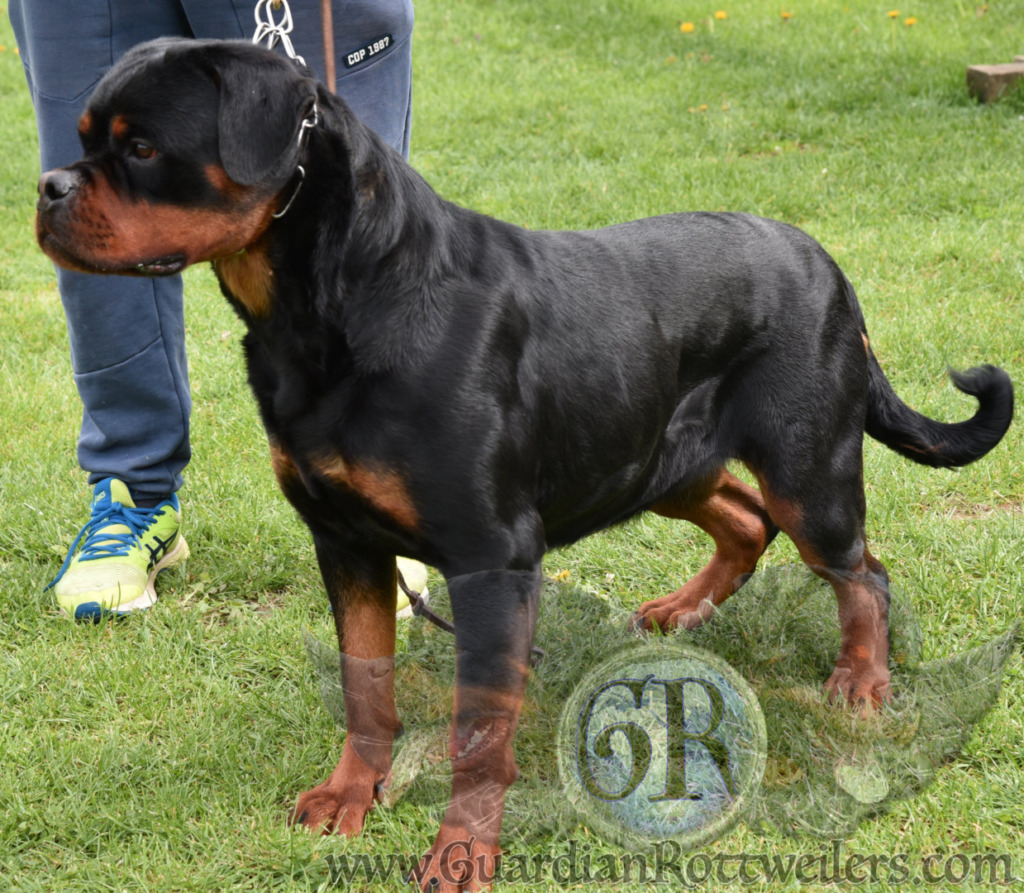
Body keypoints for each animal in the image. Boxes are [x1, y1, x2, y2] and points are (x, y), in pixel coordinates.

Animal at [36, 38, 1011, 888]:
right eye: (83, 140)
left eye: (143, 147)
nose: (46, 187)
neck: (339, 305)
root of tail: (828, 266)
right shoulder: (346, 543)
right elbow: (364, 683)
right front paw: (353, 794)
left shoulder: (490, 556)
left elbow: (477, 728)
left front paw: (460, 853)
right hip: (660, 455)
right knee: (746, 517)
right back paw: (684, 610)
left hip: (808, 466)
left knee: (860, 568)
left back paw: (863, 682)